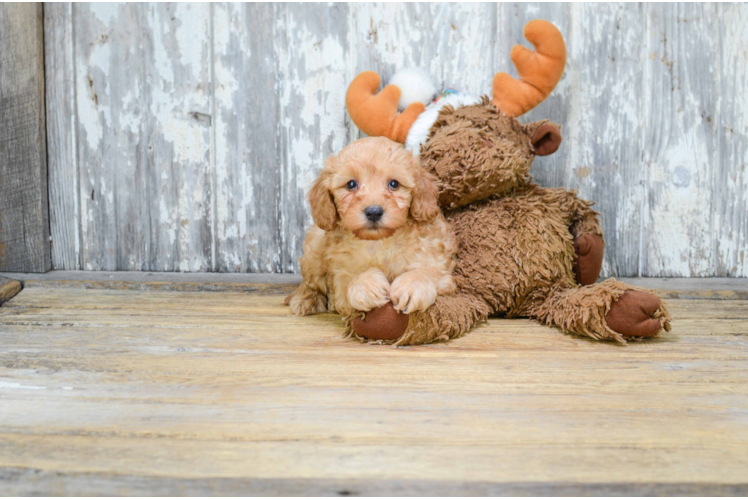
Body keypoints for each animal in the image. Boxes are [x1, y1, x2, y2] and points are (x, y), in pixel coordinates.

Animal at [284, 137, 452, 316]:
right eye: (351, 184)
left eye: (394, 184)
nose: (373, 212)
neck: (379, 242)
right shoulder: (338, 279)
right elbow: (348, 280)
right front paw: (366, 284)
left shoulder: (436, 261)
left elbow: (430, 270)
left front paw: (413, 285)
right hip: (314, 249)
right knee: (310, 282)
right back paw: (306, 299)